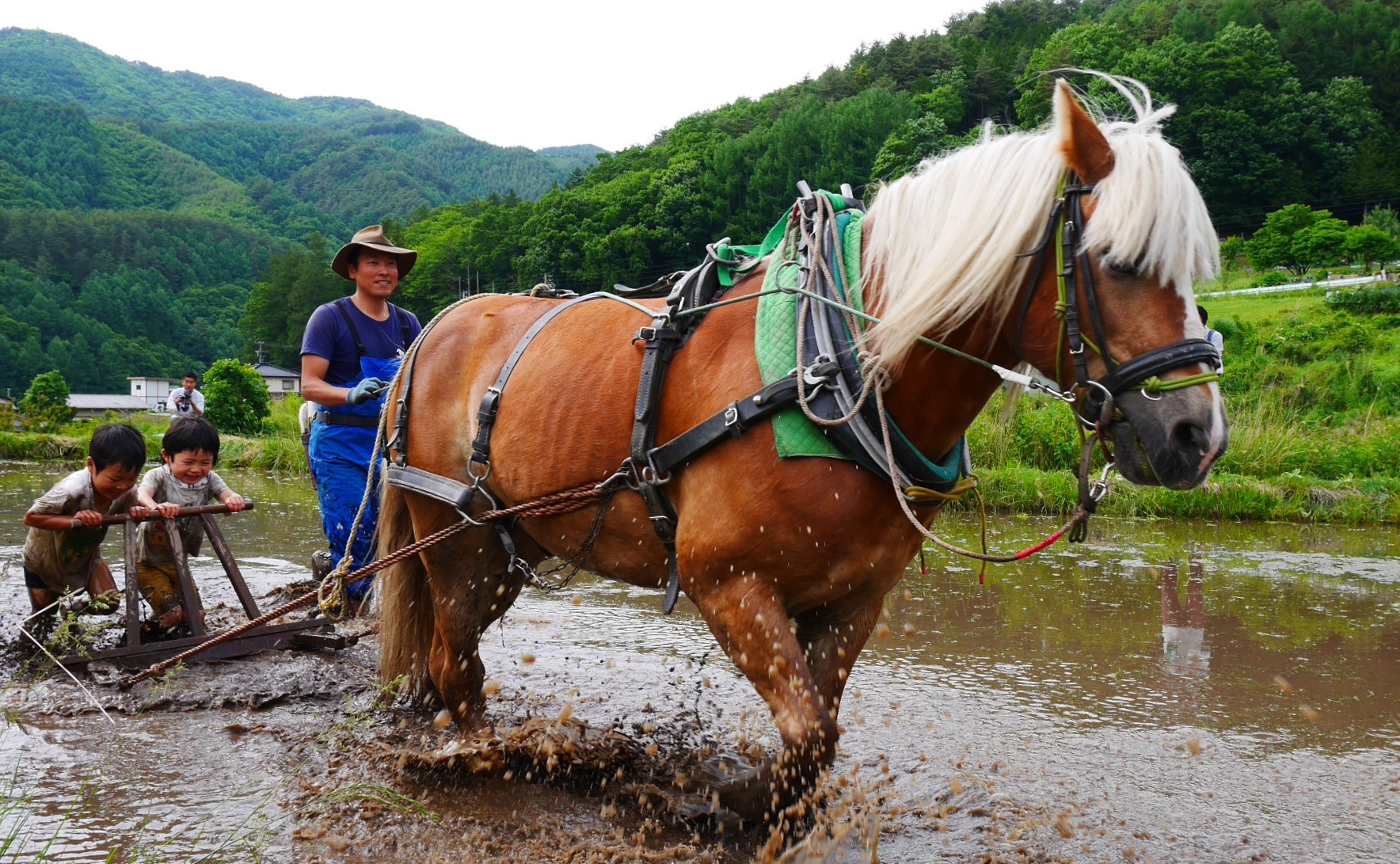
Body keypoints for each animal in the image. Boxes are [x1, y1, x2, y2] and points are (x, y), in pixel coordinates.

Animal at [376, 76, 1227, 826]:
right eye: (1118, 261)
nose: (1200, 436)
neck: (835, 368)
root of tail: (434, 328)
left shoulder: (852, 600)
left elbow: (817, 736)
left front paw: (749, 801)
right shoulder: (727, 582)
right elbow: (810, 731)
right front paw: (710, 799)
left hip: (509, 546)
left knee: (454, 659)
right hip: (452, 537)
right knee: (456, 664)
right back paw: (482, 755)